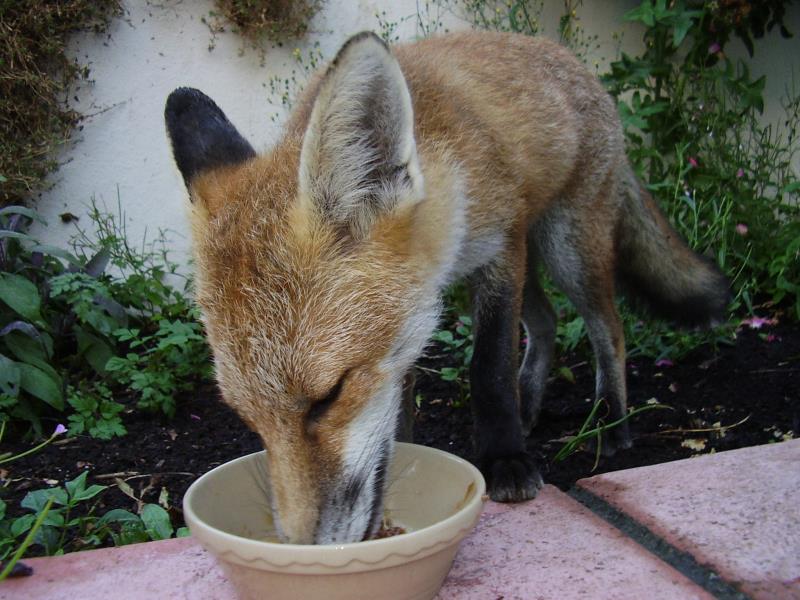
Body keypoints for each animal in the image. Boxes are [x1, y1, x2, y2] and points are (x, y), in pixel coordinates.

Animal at [166, 29, 728, 544]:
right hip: (537, 258)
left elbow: (489, 367)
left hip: (567, 247)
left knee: (607, 328)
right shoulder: (418, 301)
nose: (304, 550)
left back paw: (611, 422)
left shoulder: (499, 249)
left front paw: (505, 458)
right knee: (546, 323)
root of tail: (563, 54)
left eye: (330, 395)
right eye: (245, 415)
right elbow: (405, 391)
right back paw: (531, 404)